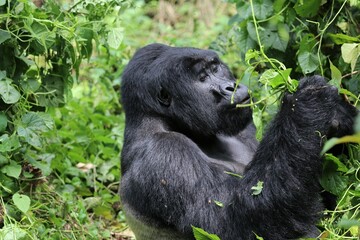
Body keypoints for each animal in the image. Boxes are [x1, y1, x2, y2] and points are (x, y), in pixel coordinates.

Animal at [119, 43, 358, 240]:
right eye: (202, 78)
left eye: (215, 69)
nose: (231, 87)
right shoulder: (166, 153)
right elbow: (238, 222)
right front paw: (307, 103)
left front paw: (339, 116)